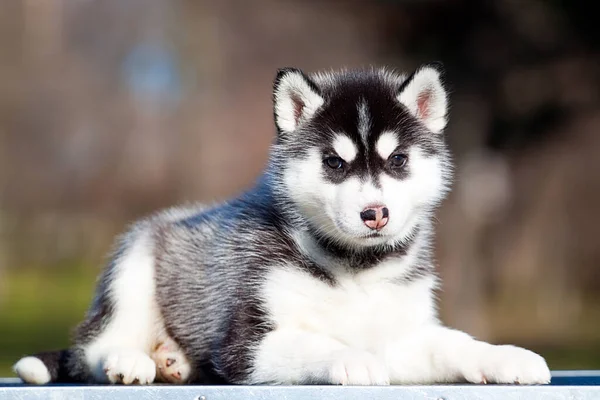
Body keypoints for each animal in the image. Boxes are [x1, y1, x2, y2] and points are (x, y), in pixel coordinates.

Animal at [14, 64, 552, 386]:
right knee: (95, 347)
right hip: (134, 266)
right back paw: (130, 361)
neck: (357, 268)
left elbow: (453, 342)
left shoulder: (405, 331)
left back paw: (174, 362)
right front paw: (354, 358)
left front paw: (504, 357)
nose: (374, 213)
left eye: (398, 159)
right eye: (334, 163)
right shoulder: (248, 343)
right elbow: (315, 341)